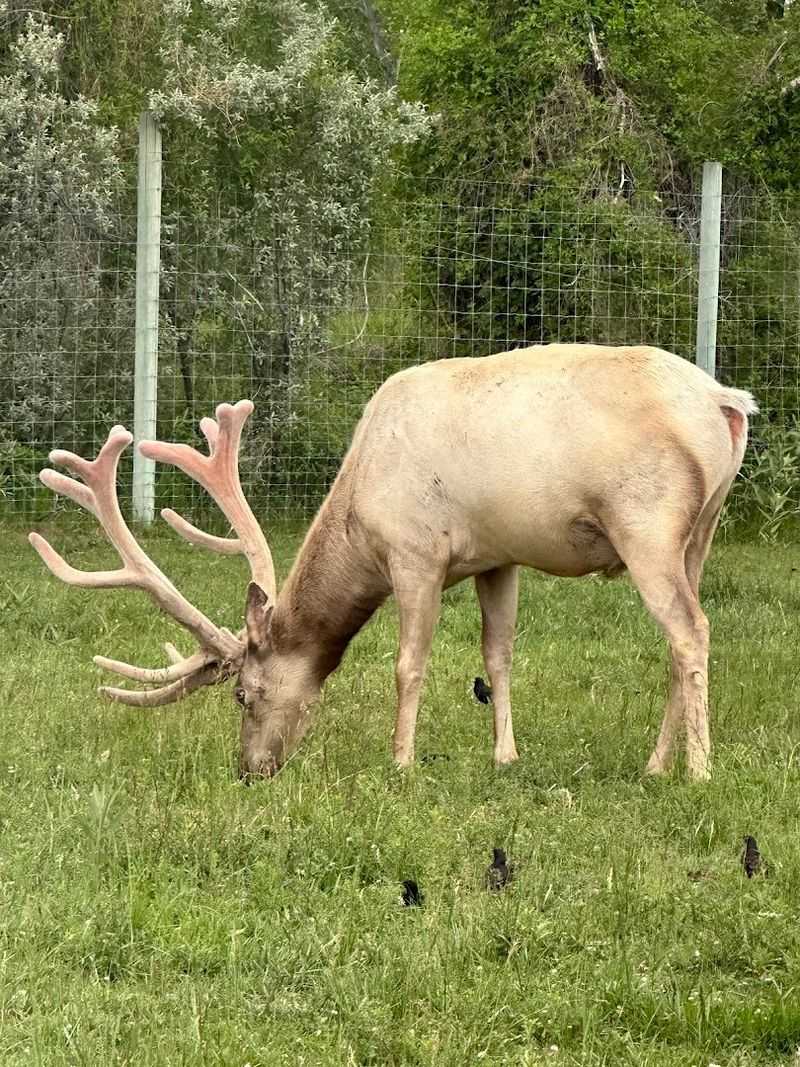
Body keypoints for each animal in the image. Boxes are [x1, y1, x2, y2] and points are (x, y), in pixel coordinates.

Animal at [29, 343, 757, 782]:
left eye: (243, 692)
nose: (250, 770)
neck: (359, 517)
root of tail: (729, 403)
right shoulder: (498, 557)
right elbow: (499, 655)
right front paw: (505, 756)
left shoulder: (415, 553)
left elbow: (408, 665)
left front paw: (401, 762)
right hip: (700, 532)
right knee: (682, 635)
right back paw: (656, 762)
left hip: (646, 523)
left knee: (691, 630)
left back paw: (697, 769)